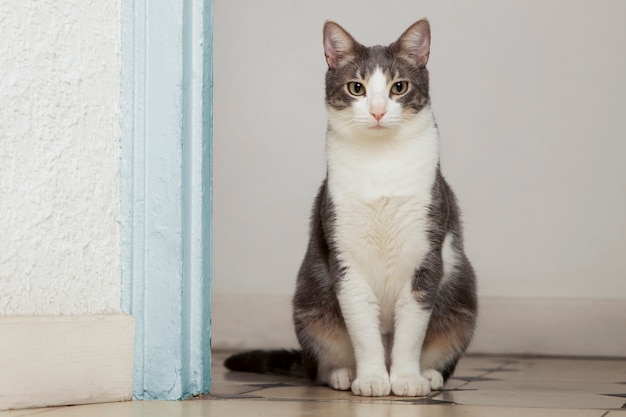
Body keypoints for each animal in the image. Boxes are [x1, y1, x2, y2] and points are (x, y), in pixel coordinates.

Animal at [224, 18, 472, 396]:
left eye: (399, 87)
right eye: (357, 88)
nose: (378, 111)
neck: (380, 161)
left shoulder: (427, 252)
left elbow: (412, 329)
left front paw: (406, 379)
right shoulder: (344, 255)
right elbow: (362, 328)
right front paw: (371, 379)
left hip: (461, 303)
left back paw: (429, 375)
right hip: (310, 303)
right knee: (320, 363)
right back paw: (341, 374)